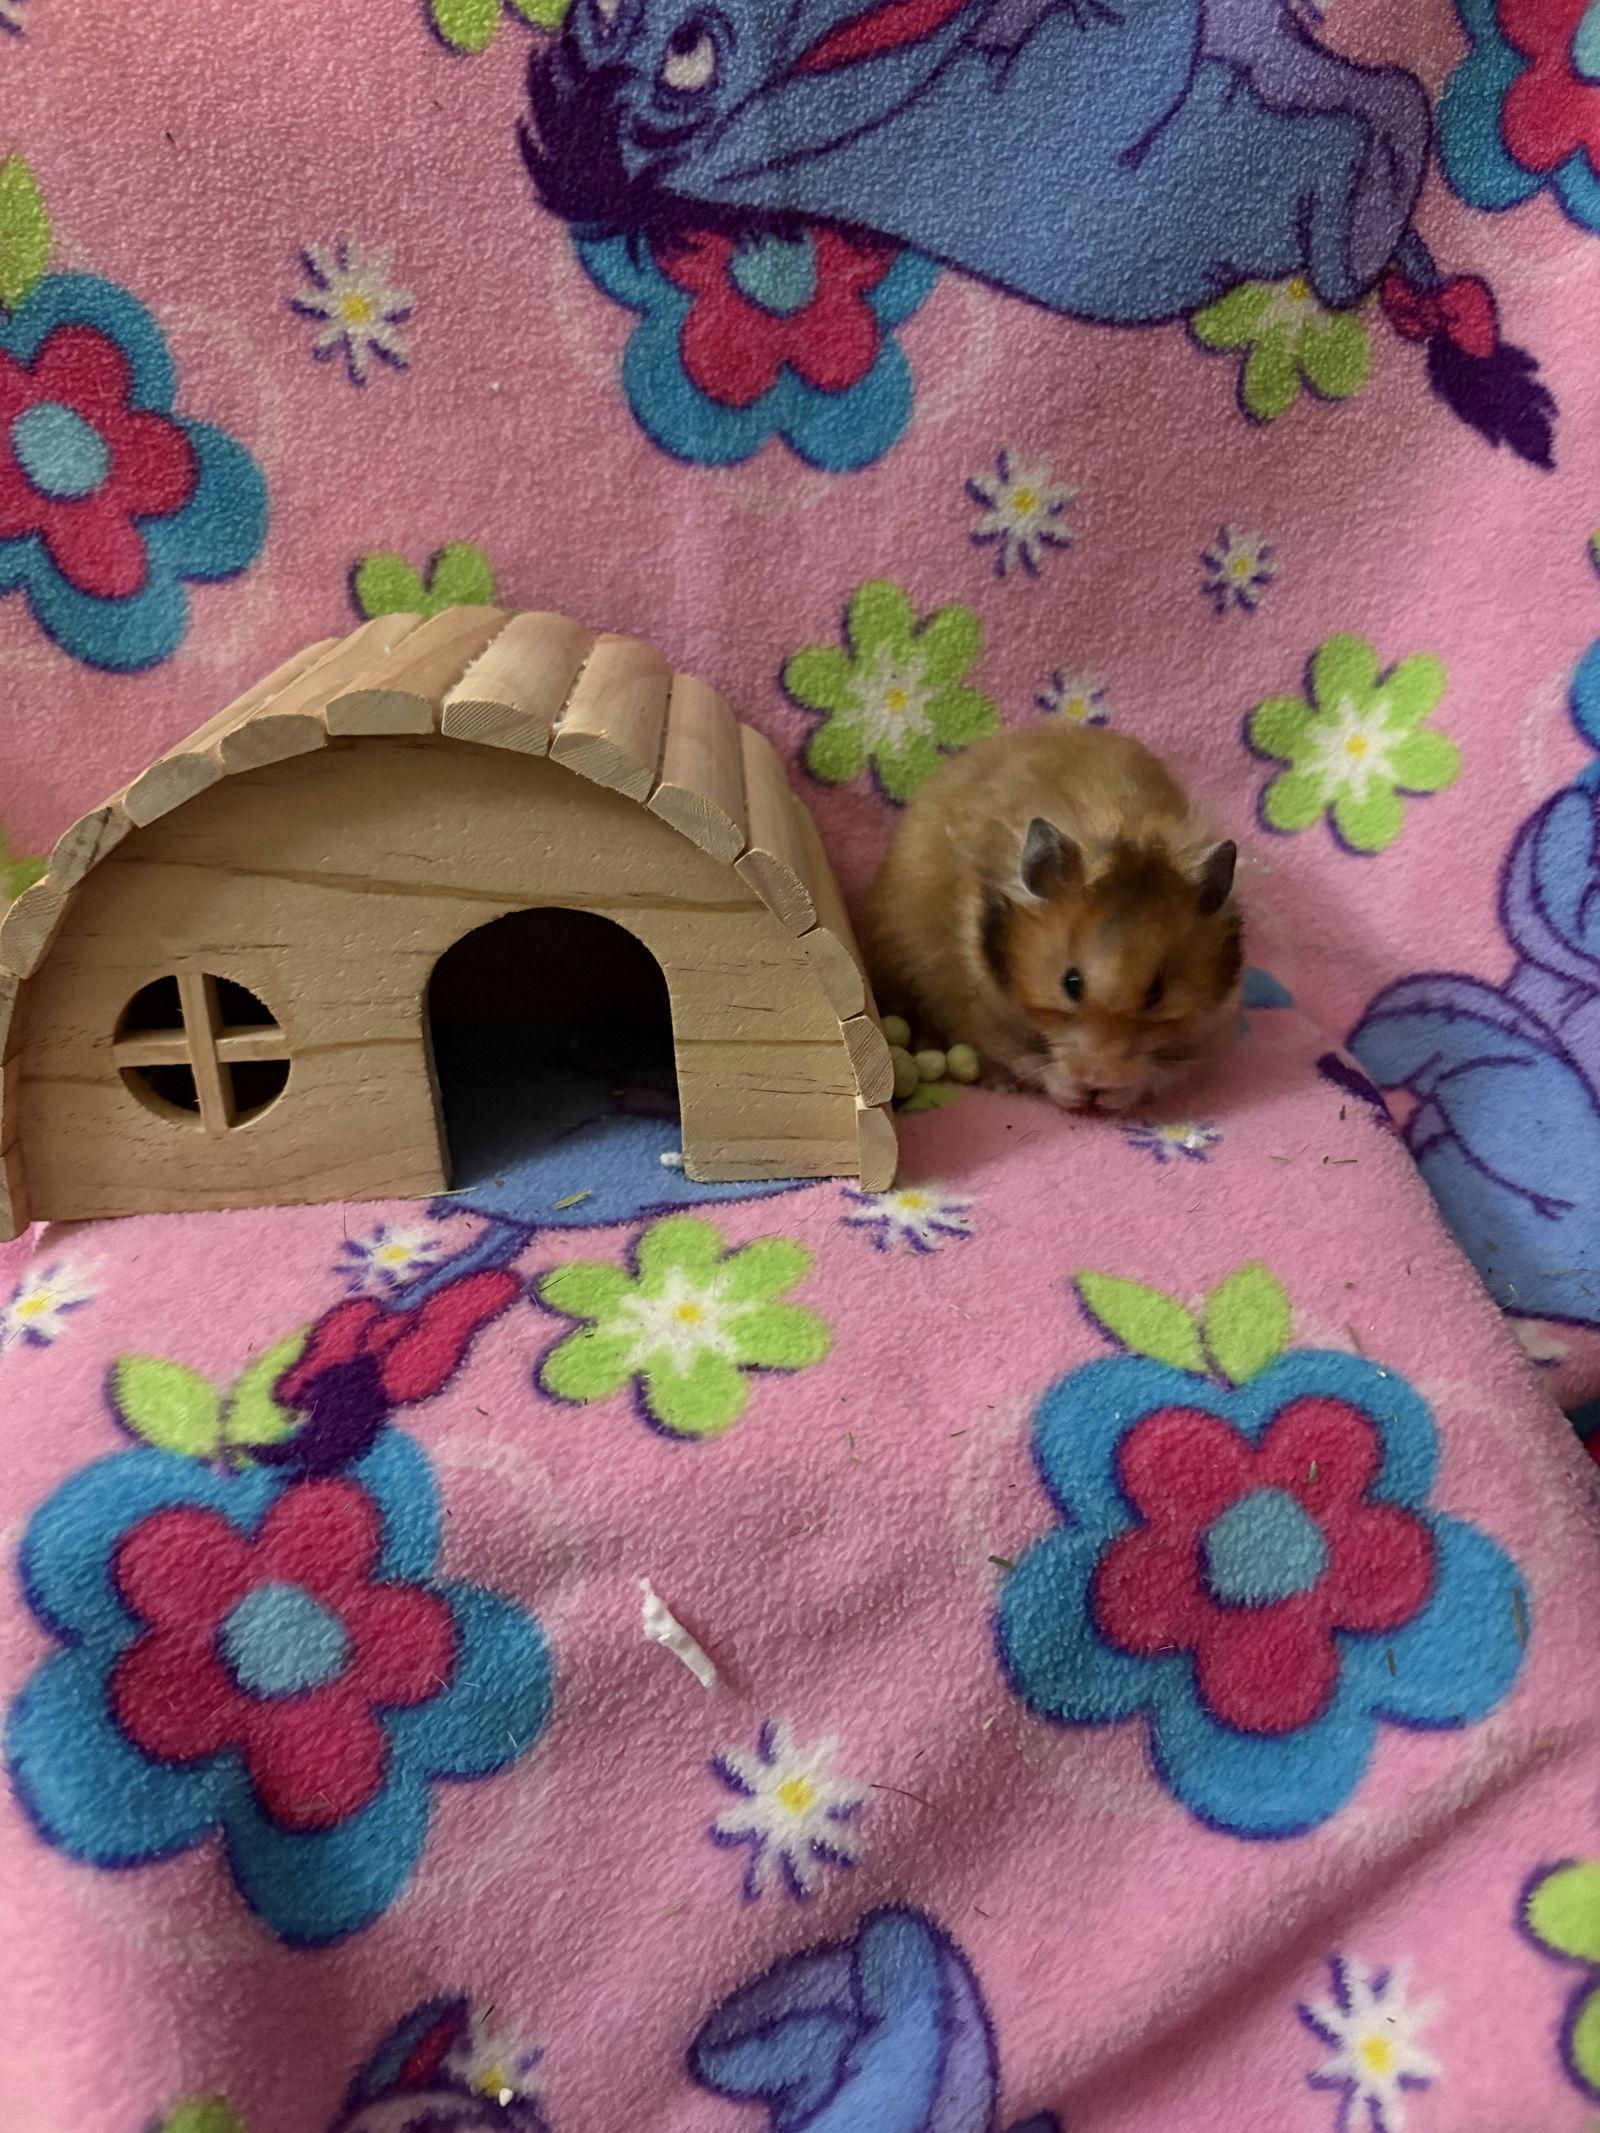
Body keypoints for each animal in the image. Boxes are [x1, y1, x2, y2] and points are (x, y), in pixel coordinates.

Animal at [865, 725, 1243, 1112]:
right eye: (1070, 983)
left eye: (1157, 994)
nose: (1097, 1080)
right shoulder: (973, 1010)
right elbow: (1029, 1062)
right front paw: (1070, 1090)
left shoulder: (1201, 1036)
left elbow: (1158, 1073)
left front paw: (1114, 1097)